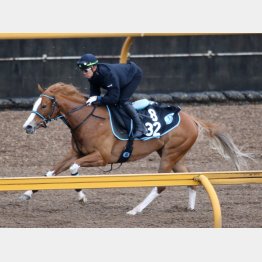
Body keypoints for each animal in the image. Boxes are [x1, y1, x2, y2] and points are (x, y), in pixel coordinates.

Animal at [21, 82, 253, 215]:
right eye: (34, 105)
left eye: (43, 106)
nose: (28, 127)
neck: (88, 120)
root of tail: (192, 119)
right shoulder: (76, 153)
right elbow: (51, 173)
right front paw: (27, 193)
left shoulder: (102, 157)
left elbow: (73, 169)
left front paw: (81, 196)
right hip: (173, 154)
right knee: (189, 176)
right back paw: (190, 206)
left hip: (170, 155)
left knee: (161, 185)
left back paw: (135, 210)